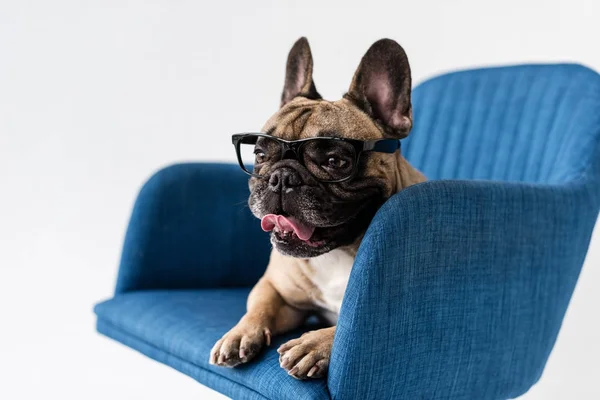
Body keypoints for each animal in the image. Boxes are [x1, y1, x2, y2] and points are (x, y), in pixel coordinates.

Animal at [209, 38, 424, 382]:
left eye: (335, 161)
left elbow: (346, 329)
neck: (340, 251)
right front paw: (239, 334)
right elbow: (259, 304)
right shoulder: (278, 290)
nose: (282, 178)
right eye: (259, 155)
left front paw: (313, 345)